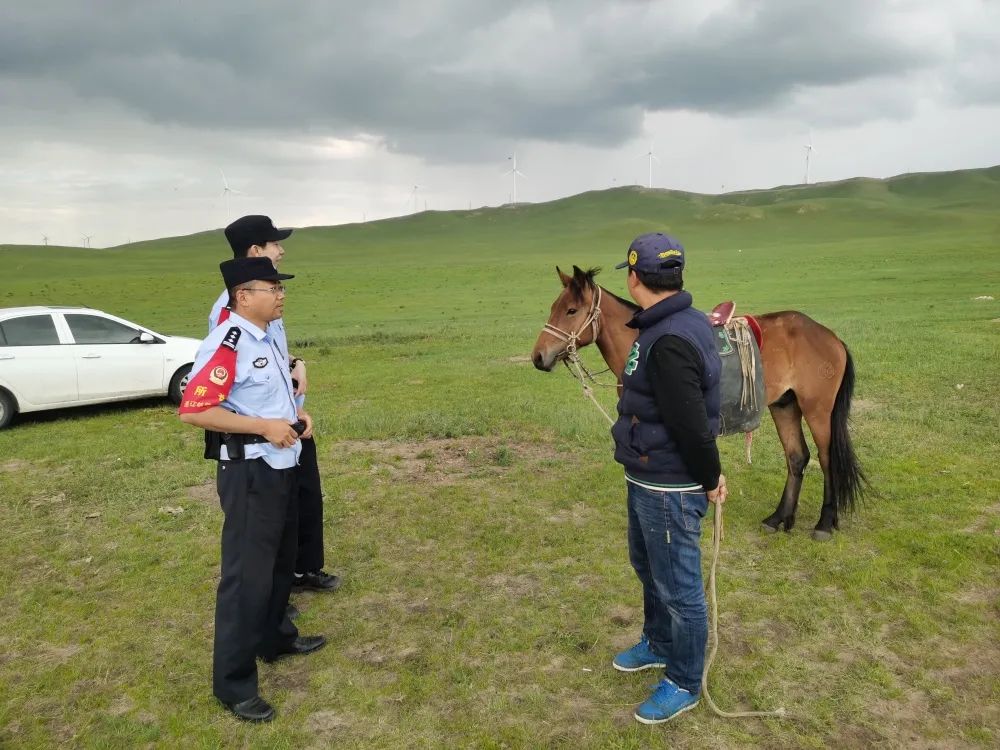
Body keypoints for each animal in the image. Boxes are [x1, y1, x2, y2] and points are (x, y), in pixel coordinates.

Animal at [532, 264, 868, 540]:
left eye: (571, 310)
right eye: (554, 307)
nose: (538, 356)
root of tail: (830, 336)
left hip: (817, 409)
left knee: (826, 458)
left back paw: (824, 523)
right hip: (785, 405)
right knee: (797, 457)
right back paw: (779, 518)